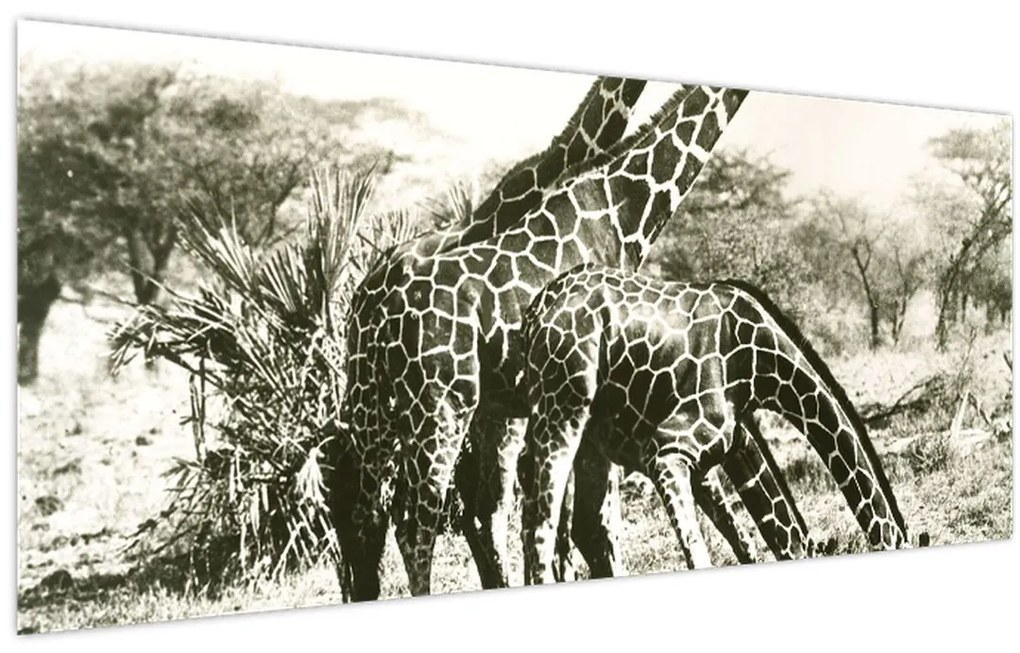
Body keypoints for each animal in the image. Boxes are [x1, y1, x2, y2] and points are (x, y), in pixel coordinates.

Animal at [331, 84, 753, 600]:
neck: (624, 206)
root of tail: (374, 306)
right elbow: (595, 525)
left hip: (375, 404)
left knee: (369, 512)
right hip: (443, 405)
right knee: (416, 521)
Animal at [519, 263, 920, 583]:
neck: (760, 363)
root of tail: (536, 311)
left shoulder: (726, 447)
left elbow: (758, 538)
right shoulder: (667, 451)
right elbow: (699, 551)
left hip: (587, 442)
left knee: (579, 526)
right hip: (564, 406)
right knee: (543, 523)